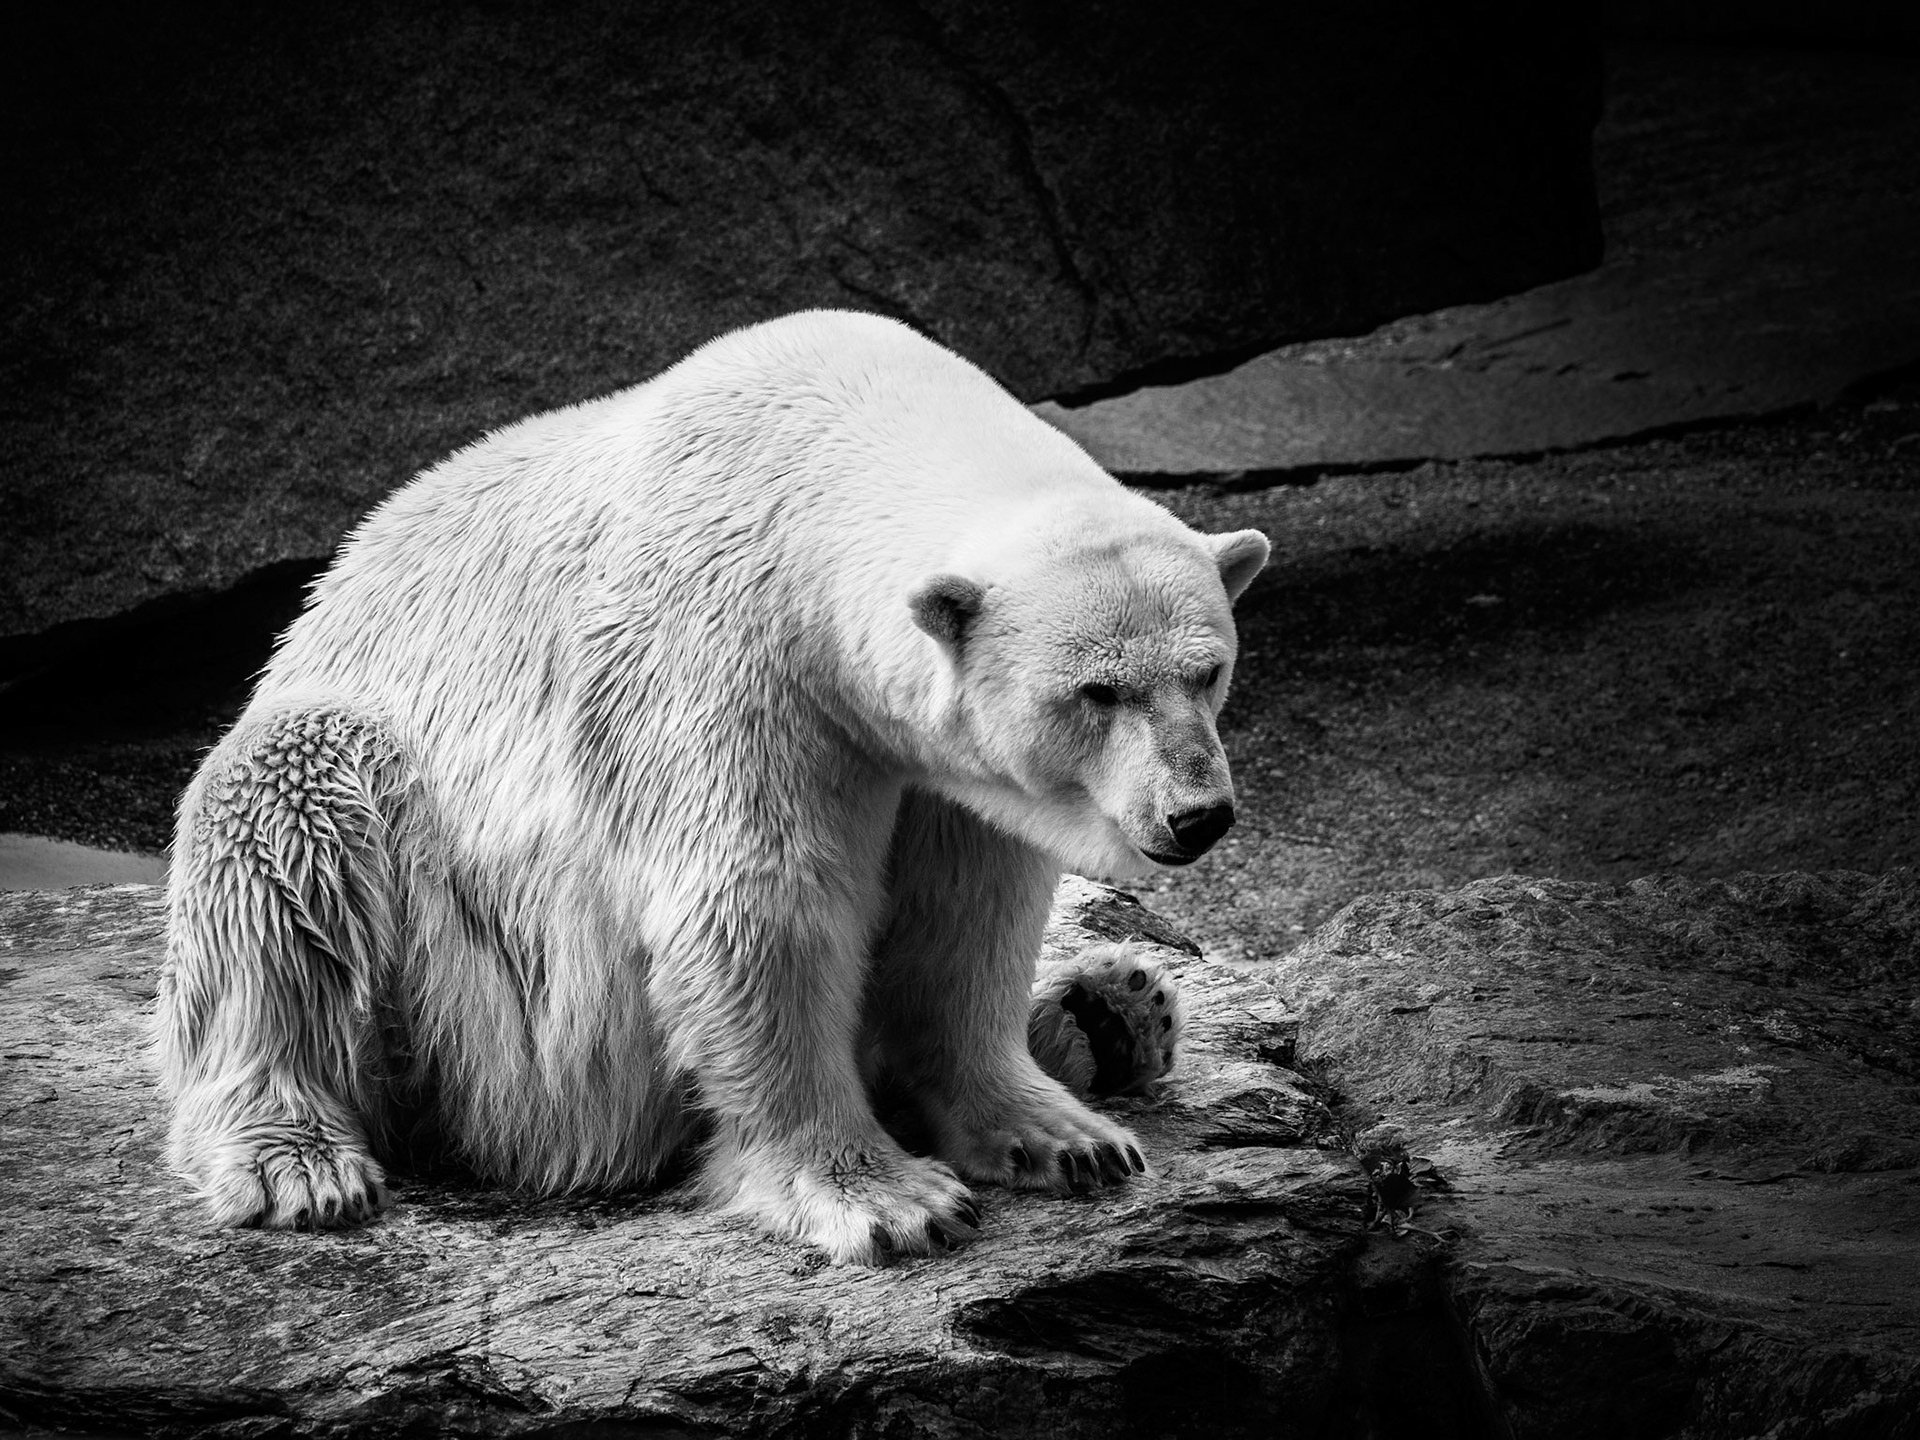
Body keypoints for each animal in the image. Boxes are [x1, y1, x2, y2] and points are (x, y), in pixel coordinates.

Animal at [156, 309, 1268, 1264]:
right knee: (283, 823)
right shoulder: (721, 655)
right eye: (1098, 691)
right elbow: (756, 903)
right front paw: (887, 1199)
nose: (1197, 815)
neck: (820, 440)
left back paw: (1110, 1011)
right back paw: (298, 1161)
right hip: (458, 1000)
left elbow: (965, 912)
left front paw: (1064, 1137)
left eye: (1208, 670)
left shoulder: (936, 768)